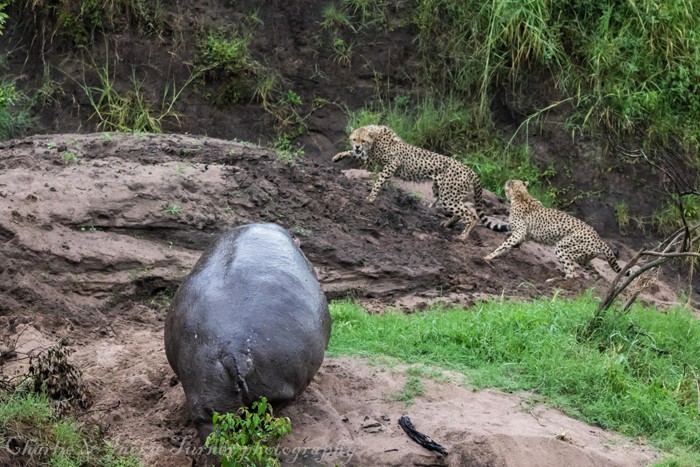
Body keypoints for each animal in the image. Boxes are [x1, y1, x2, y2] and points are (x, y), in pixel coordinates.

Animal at [330, 124, 506, 241]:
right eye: (354, 139)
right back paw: (448, 223)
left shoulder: (392, 164)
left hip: (448, 196)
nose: (358, 146)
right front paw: (338, 156)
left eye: (363, 141)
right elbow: (355, 154)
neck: (375, 138)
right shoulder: (372, 157)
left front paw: (371, 198)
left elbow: (379, 180)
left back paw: (463, 236)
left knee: (471, 215)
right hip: (444, 192)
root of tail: (469, 169)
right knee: (462, 210)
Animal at [484, 179, 628, 278]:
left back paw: (556, 282)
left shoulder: (520, 231)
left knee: (572, 273)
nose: (504, 191)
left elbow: (504, 244)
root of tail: (599, 238)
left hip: (563, 248)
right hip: (585, 258)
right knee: (596, 274)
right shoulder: (525, 233)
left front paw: (488, 257)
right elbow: (516, 241)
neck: (521, 195)